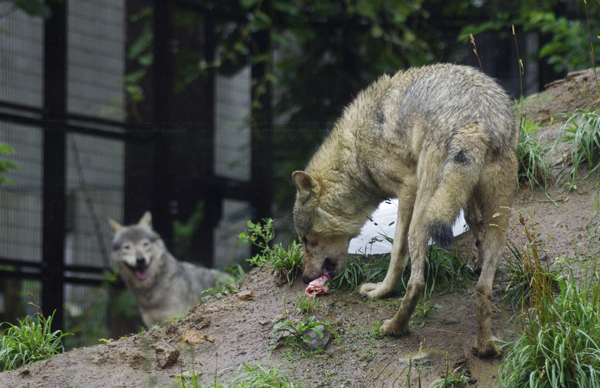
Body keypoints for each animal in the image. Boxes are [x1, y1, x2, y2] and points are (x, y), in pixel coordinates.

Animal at [292, 63, 516, 358]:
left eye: (306, 240)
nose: (305, 277)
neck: (356, 152)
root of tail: (475, 125)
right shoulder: (466, 201)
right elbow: (475, 229)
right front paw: (476, 263)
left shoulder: (407, 189)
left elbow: (397, 255)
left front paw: (381, 291)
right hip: (499, 220)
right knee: (483, 287)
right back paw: (485, 346)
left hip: (423, 217)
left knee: (417, 281)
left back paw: (393, 328)